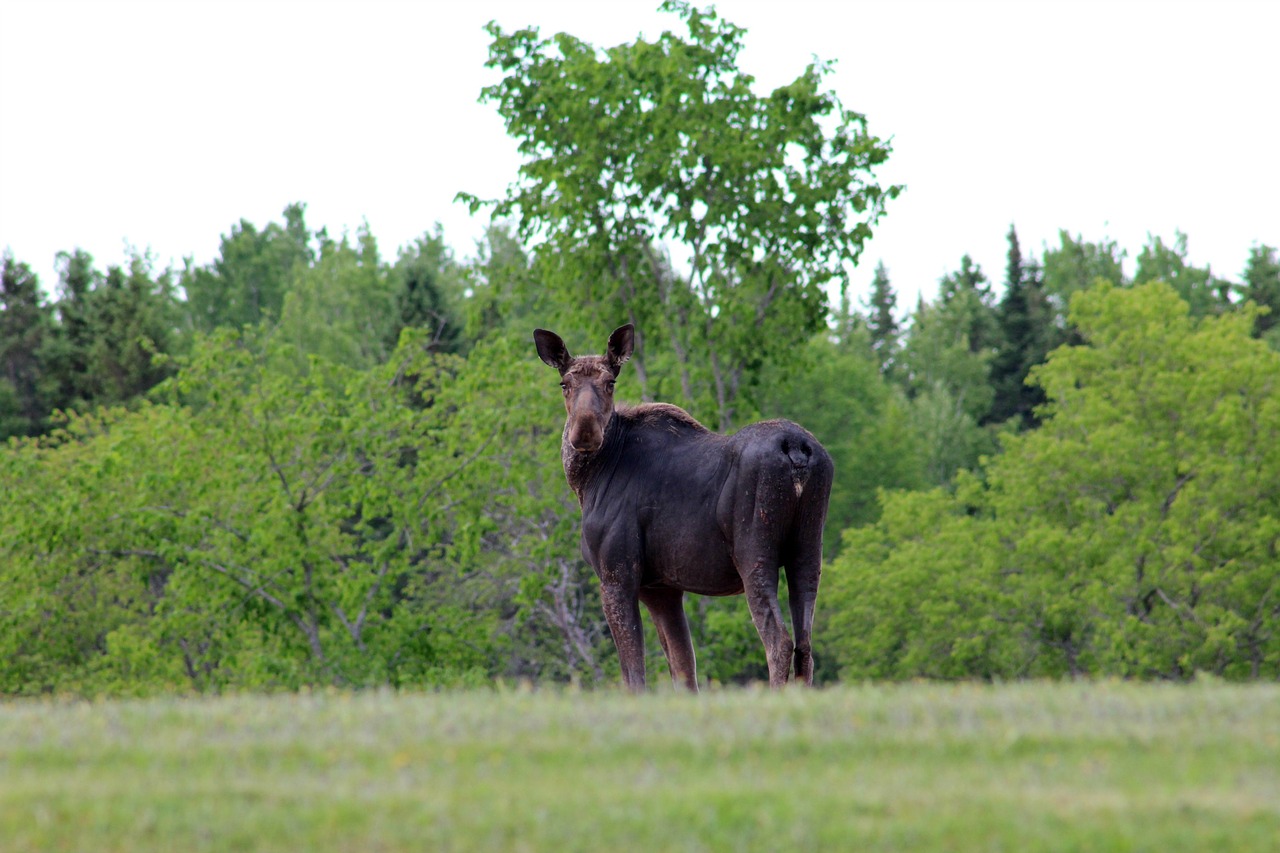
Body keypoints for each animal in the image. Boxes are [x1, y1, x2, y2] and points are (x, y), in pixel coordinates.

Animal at [529, 322, 829, 686]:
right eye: (564, 383)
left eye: (611, 382)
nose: (584, 430)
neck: (585, 482)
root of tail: (797, 449)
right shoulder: (662, 588)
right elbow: (685, 670)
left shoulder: (617, 575)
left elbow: (635, 675)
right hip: (808, 551)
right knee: (806, 646)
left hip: (755, 553)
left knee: (779, 641)